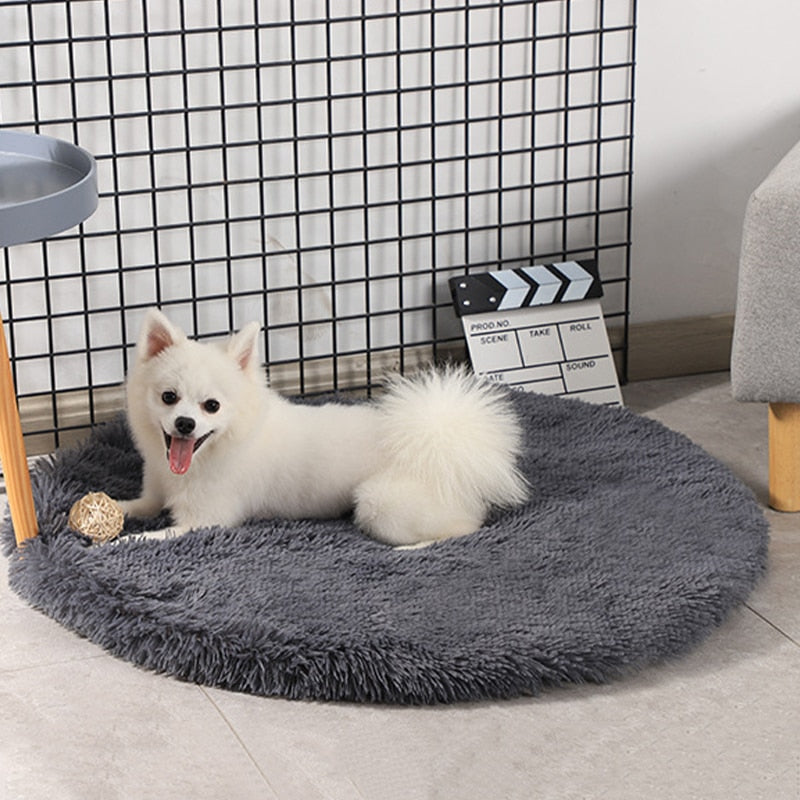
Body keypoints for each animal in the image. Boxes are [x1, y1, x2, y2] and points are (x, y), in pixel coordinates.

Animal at [119, 310, 528, 548]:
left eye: (212, 406)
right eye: (169, 397)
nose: (185, 423)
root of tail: (444, 439)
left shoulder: (206, 520)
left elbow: (151, 538)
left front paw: (124, 542)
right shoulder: (156, 490)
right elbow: (138, 504)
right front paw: (115, 508)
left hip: (381, 503)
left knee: (466, 528)